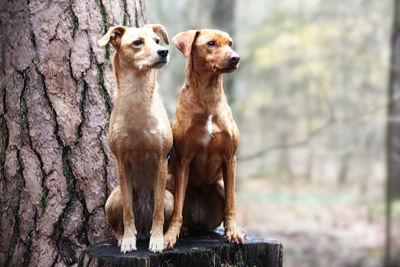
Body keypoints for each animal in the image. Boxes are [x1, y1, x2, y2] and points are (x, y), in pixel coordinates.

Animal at [98, 24, 173, 253]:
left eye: (157, 40)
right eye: (137, 42)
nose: (164, 52)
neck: (138, 95)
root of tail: (143, 226)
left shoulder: (161, 160)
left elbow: (158, 212)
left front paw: (157, 240)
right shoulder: (122, 162)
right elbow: (127, 211)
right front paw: (128, 240)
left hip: (170, 198)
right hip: (112, 200)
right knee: (119, 223)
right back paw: (125, 236)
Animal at [164, 28, 245, 249]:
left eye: (230, 43)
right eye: (211, 43)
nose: (236, 58)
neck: (208, 96)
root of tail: (198, 221)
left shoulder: (230, 159)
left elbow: (231, 205)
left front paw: (233, 231)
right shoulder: (183, 160)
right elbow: (177, 208)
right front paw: (170, 234)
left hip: (219, 185)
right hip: (170, 180)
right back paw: (183, 228)